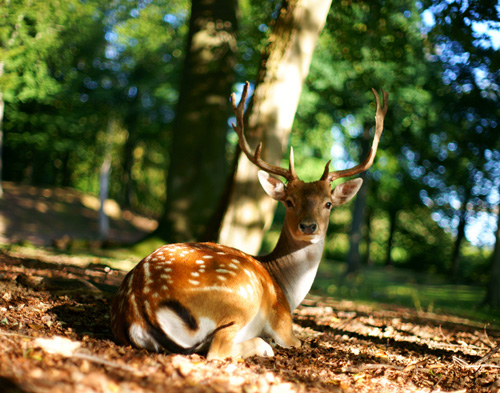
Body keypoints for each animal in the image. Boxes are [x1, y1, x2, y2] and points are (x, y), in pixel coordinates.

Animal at [111, 82, 388, 358]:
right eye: (289, 201)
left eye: (328, 203)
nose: (309, 226)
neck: (287, 291)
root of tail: (140, 305)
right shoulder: (283, 322)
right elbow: (296, 340)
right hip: (240, 297)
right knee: (218, 348)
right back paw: (263, 345)